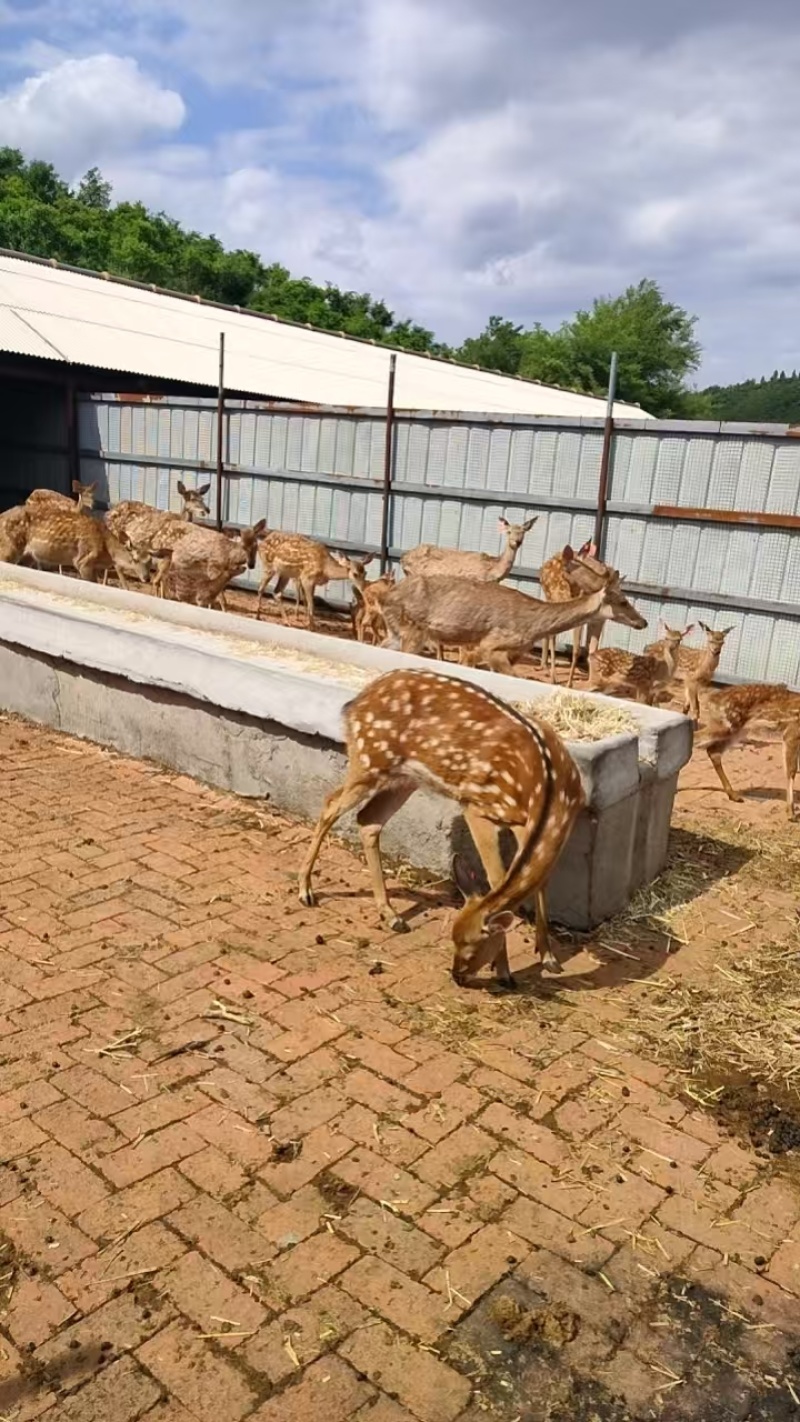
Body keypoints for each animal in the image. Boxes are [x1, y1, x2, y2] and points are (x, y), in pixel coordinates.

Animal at [298, 669, 584, 985]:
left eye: (471, 947)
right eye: (454, 939)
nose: (456, 976)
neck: (547, 794)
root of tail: (354, 704)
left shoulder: (531, 826)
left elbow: (542, 883)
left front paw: (548, 958)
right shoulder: (476, 807)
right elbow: (497, 879)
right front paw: (505, 971)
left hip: (405, 777)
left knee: (368, 819)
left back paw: (391, 915)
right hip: (368, 761)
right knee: (330, 803)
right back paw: (306, 891)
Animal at [381, 566, 647, 678]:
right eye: (623, 601)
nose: (643, 622)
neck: (533, 627)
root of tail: (385, 597)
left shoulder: (513, 653)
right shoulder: (490, 644)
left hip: (396, 631)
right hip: (412, 631)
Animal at [699, 683, 800, 820]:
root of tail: (712, 699)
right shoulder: (792, 732)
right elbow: (791, 771)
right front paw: (791, 813)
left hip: (738, 730)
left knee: (713, 751)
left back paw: (734, 796)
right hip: (727, 725)